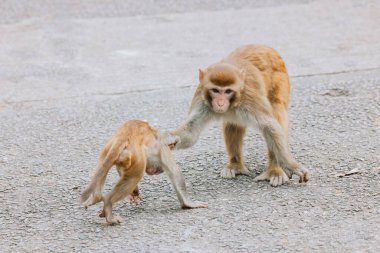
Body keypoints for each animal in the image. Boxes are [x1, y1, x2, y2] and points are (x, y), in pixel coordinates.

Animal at [174, 44, 310, 186]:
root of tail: (263, 46)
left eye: (228, 91)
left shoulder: (250, 98)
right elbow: (191, 131)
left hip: (280, 80)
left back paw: (275, 170)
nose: (220, 103)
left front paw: (292, 165)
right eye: (215, 90)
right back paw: (236, 165)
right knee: (233, 122)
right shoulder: (201, 97)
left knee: (277, 112)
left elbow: (270, 127)